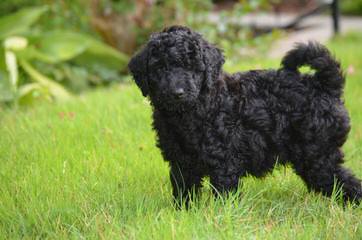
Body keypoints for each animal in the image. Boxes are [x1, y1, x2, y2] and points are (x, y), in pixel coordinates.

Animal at [129, 25, 360, 206]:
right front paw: (184, 213)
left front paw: (220, 217)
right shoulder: (182, 161)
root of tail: (324, 85)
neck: (193, 110)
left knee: (345, 182)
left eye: (192, 67)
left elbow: (224, 193)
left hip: (317, 155)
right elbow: (184, 190)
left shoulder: (224, 161)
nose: (177, 93)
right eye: (160, 68)